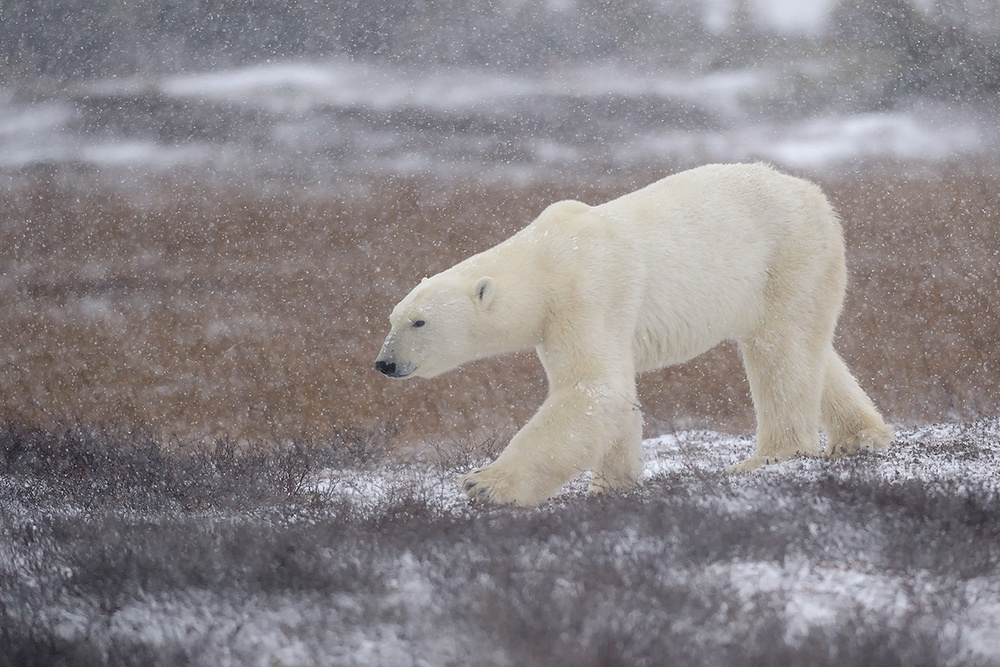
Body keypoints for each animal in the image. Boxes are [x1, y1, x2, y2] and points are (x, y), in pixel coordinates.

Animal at [376, 163, 892, 506]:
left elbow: (593, 387)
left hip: (789, 254)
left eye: (419, 322)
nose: (385, 363)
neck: (545, 257)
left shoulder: (586, 293)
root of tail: (814, 192)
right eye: (392, 319)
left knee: (781, 350)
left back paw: (770, 456)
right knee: (809, 347)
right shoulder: (560, 322)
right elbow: (612, 395)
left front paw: (484, 483)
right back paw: (860, 435)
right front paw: (612, 483)